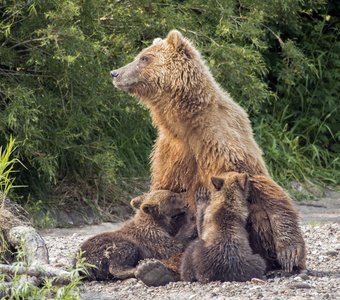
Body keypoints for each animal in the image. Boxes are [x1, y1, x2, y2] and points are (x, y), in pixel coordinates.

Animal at [111, 28, 306, 284]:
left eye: (145, 57)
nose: (115, 73)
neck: (185, 122)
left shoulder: (221, 140)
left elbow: (258, 182)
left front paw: (290, 252)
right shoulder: (171, 150)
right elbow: (166, 187)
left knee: (257, 212)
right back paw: (155, 269)